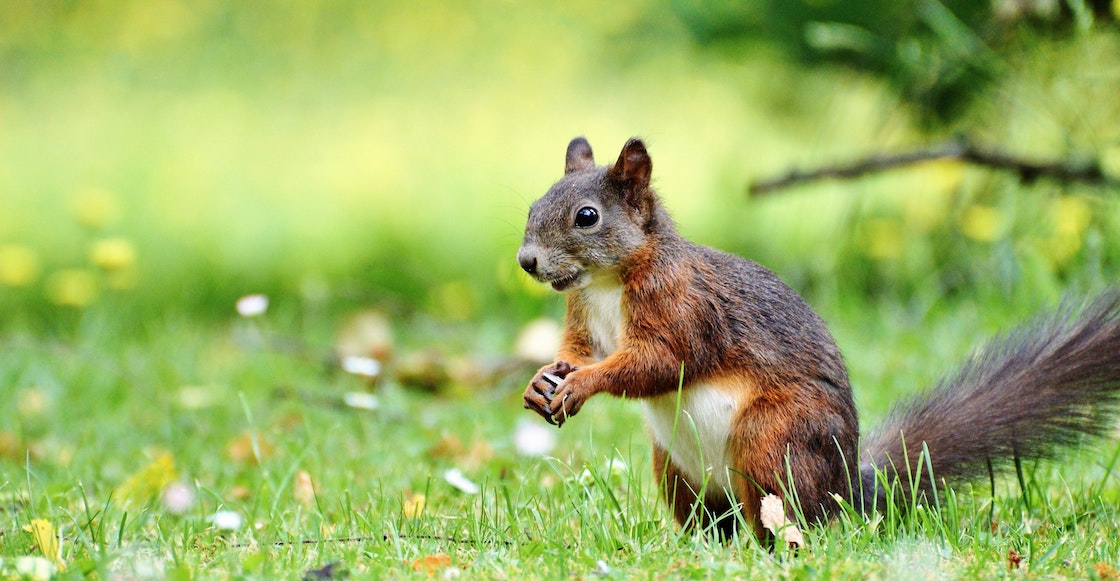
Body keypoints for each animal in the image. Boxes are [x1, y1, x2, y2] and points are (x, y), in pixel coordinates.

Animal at [512, 135, 1120, 537]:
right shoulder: (582, 316)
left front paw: (583, 384)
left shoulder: (684, 309)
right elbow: (577, 351)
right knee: (713, 520)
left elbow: (658, 362)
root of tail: (847, 491)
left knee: (786, 515)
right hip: (677, 470)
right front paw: (543, 380)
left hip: (772, 440)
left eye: (587, 216)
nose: (526, 262)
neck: (607, 283)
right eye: (534, 205)